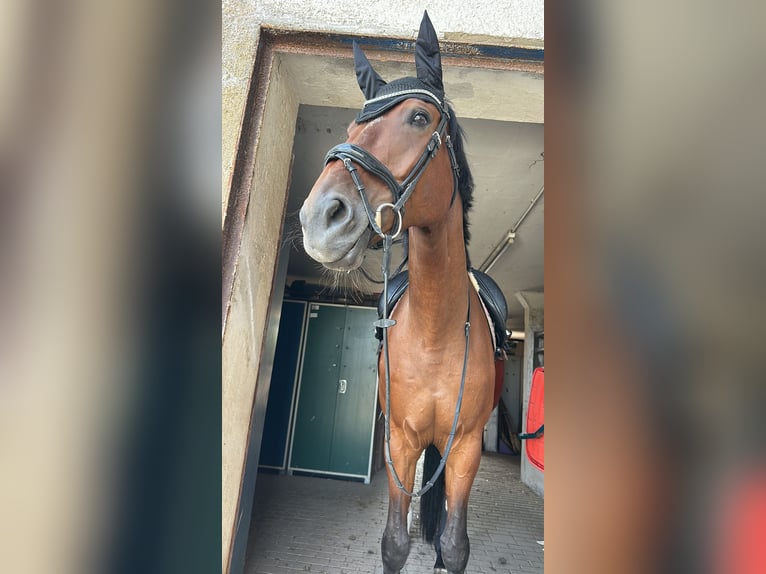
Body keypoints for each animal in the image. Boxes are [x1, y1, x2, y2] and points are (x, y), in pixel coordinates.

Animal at [299, 12, 501, 574]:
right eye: (351, 128)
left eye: (417, 117)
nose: (319, 219)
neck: (436, 333)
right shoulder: (400, 442)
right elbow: (395, 541)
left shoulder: (464, 449)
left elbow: (453, 546)